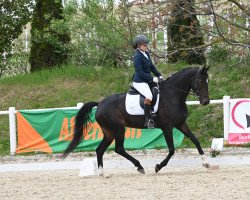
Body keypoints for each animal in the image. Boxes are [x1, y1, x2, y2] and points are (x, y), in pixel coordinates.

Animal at [62, 65, 211, 173]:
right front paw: (158, 167)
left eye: (208, 82)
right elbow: (171, 149)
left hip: (109, 132)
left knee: (100, 150)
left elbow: (195, 140)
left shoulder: (181, 124)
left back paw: (102, 173)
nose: (206, 102)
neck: (173, 95)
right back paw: (139, 166)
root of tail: (100, 104)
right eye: (200, 81)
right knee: (119, 149)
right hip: (118, 129)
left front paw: (206, 162)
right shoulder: (167, 127)